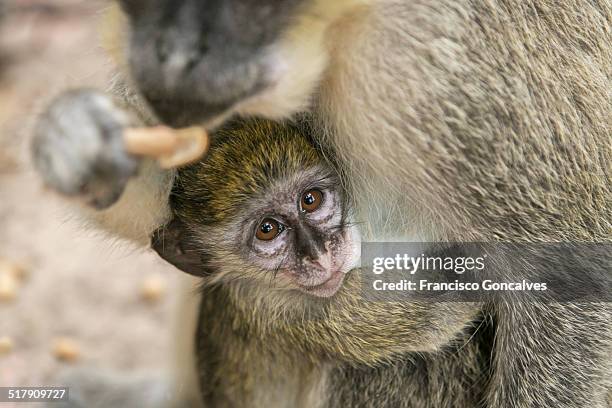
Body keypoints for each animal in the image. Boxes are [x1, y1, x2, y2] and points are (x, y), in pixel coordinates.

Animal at [34, 0, 612, 408]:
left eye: (312, 201)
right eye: (268, 231)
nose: (172, 60)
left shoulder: (473, 83)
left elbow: (569, 279)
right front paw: (74, 138)